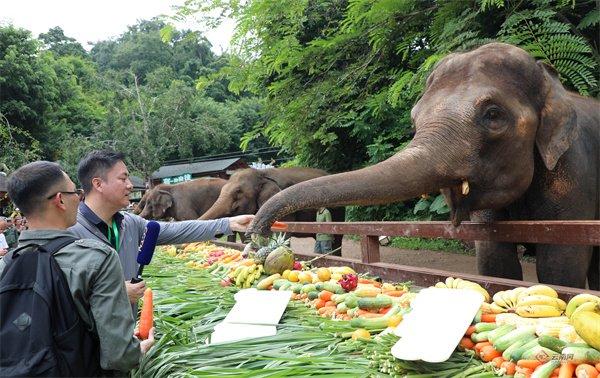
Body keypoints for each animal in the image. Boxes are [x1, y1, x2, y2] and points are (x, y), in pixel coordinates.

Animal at [246, 42, 596, 290]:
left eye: (494, 115)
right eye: (415, 119)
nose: (256, 234)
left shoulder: (574, 174)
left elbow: (560, 266)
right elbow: (495, 262)